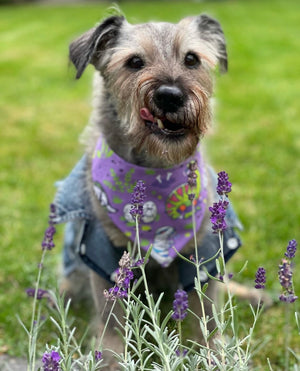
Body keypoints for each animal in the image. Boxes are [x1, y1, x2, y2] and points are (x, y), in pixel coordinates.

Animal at [51, 12, 268, 371]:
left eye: (191, 59)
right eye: (134, 62)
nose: (170, 95)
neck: (157, 172)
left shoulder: (203, 249)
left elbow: (207, 312)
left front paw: (215, 353)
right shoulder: (102, 253)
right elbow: (112, 319)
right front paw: (111, 359)